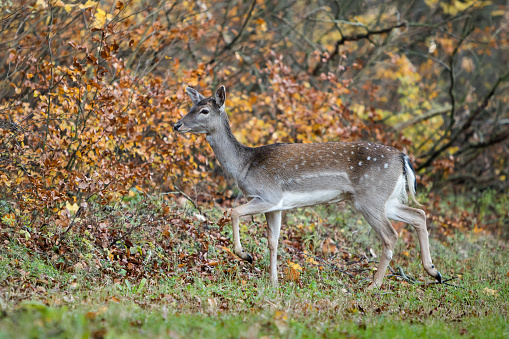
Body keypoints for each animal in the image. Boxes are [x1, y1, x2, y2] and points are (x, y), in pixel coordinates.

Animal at [172, 85, 440, 290]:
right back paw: (433, 271)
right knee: (418, 214)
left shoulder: (268, 195)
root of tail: (402, 158)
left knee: (391, 235)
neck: (244, 166)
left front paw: (245, 255)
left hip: (370, 198)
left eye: (204, 110)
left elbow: (234, 212)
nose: (177, 125)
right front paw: (273, 282)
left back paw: (373, 285)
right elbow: (273, 241)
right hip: (387, 199)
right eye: (191, 106)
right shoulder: (276, 206)